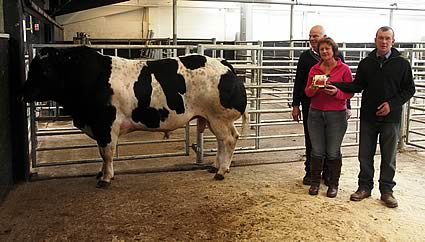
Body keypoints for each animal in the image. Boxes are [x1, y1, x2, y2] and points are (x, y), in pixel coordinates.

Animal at [22, 46, 248, 187]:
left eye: (43, 69)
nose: (23, 93)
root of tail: (223, 63)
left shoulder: (106, 125)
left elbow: (107, 153)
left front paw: (105, 178)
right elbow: (101, 153)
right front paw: (101, 173)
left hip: (218, 118)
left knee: (228, 140)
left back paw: (221, 171)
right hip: (213, 119)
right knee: (226, 140)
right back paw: (216, 167)